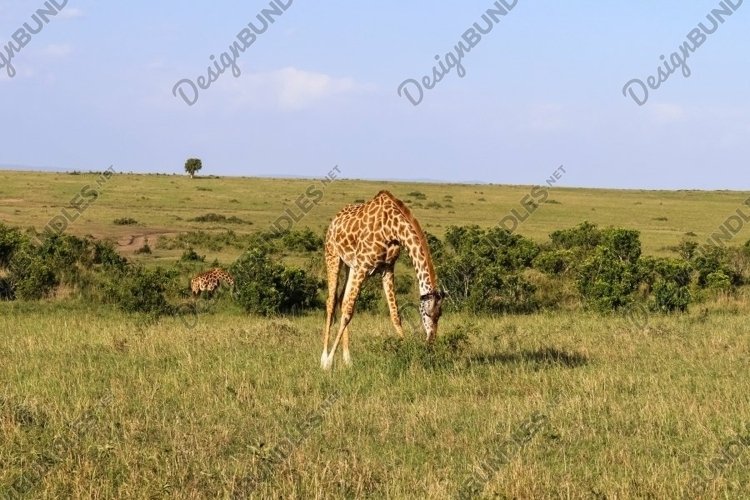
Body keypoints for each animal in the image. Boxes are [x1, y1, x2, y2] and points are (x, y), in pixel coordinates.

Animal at [320, 190, 445, 370]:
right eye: (427, 313)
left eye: (439, 315)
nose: (431, 341)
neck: (393, 229)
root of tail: (334, 221)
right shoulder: (364, 266)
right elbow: (348, 313)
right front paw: (328, 362)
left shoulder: (387, 267)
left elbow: (395, 314)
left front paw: (407, 350)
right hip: (333, 256)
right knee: (331, 302)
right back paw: (324, 356)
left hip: (351, 266)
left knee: (342, 301)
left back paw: (347, 359)